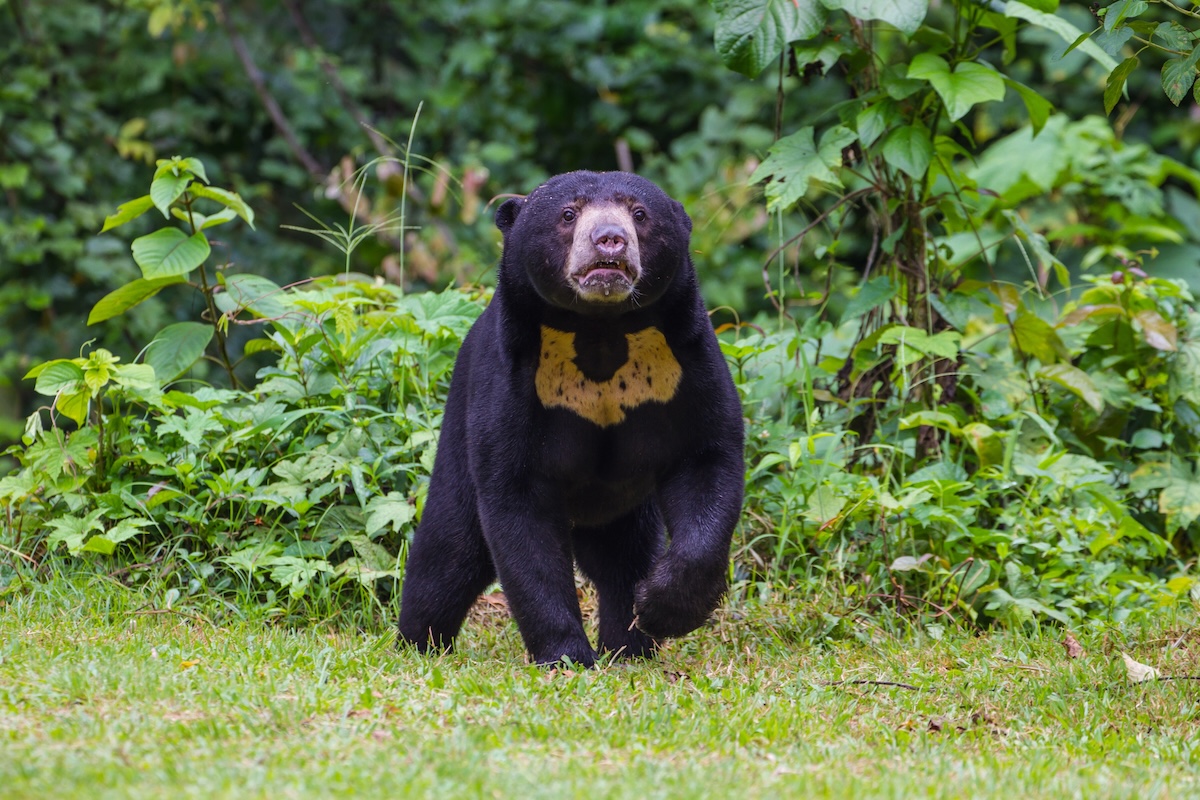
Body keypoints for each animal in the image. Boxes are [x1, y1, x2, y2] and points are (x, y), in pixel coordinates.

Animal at [397, 171, 744, 666]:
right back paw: (419, 642)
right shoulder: (512, 378)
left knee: (622, 558)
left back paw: (630, 647)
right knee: (448, 552)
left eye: (639, 213)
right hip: (457, 430)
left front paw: (662, 609)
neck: (599, 330)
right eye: (568, 213)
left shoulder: (686, 362)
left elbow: (707, 460)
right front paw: (566, 655)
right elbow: (518, 506)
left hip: (622, 506)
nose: (610, 240)